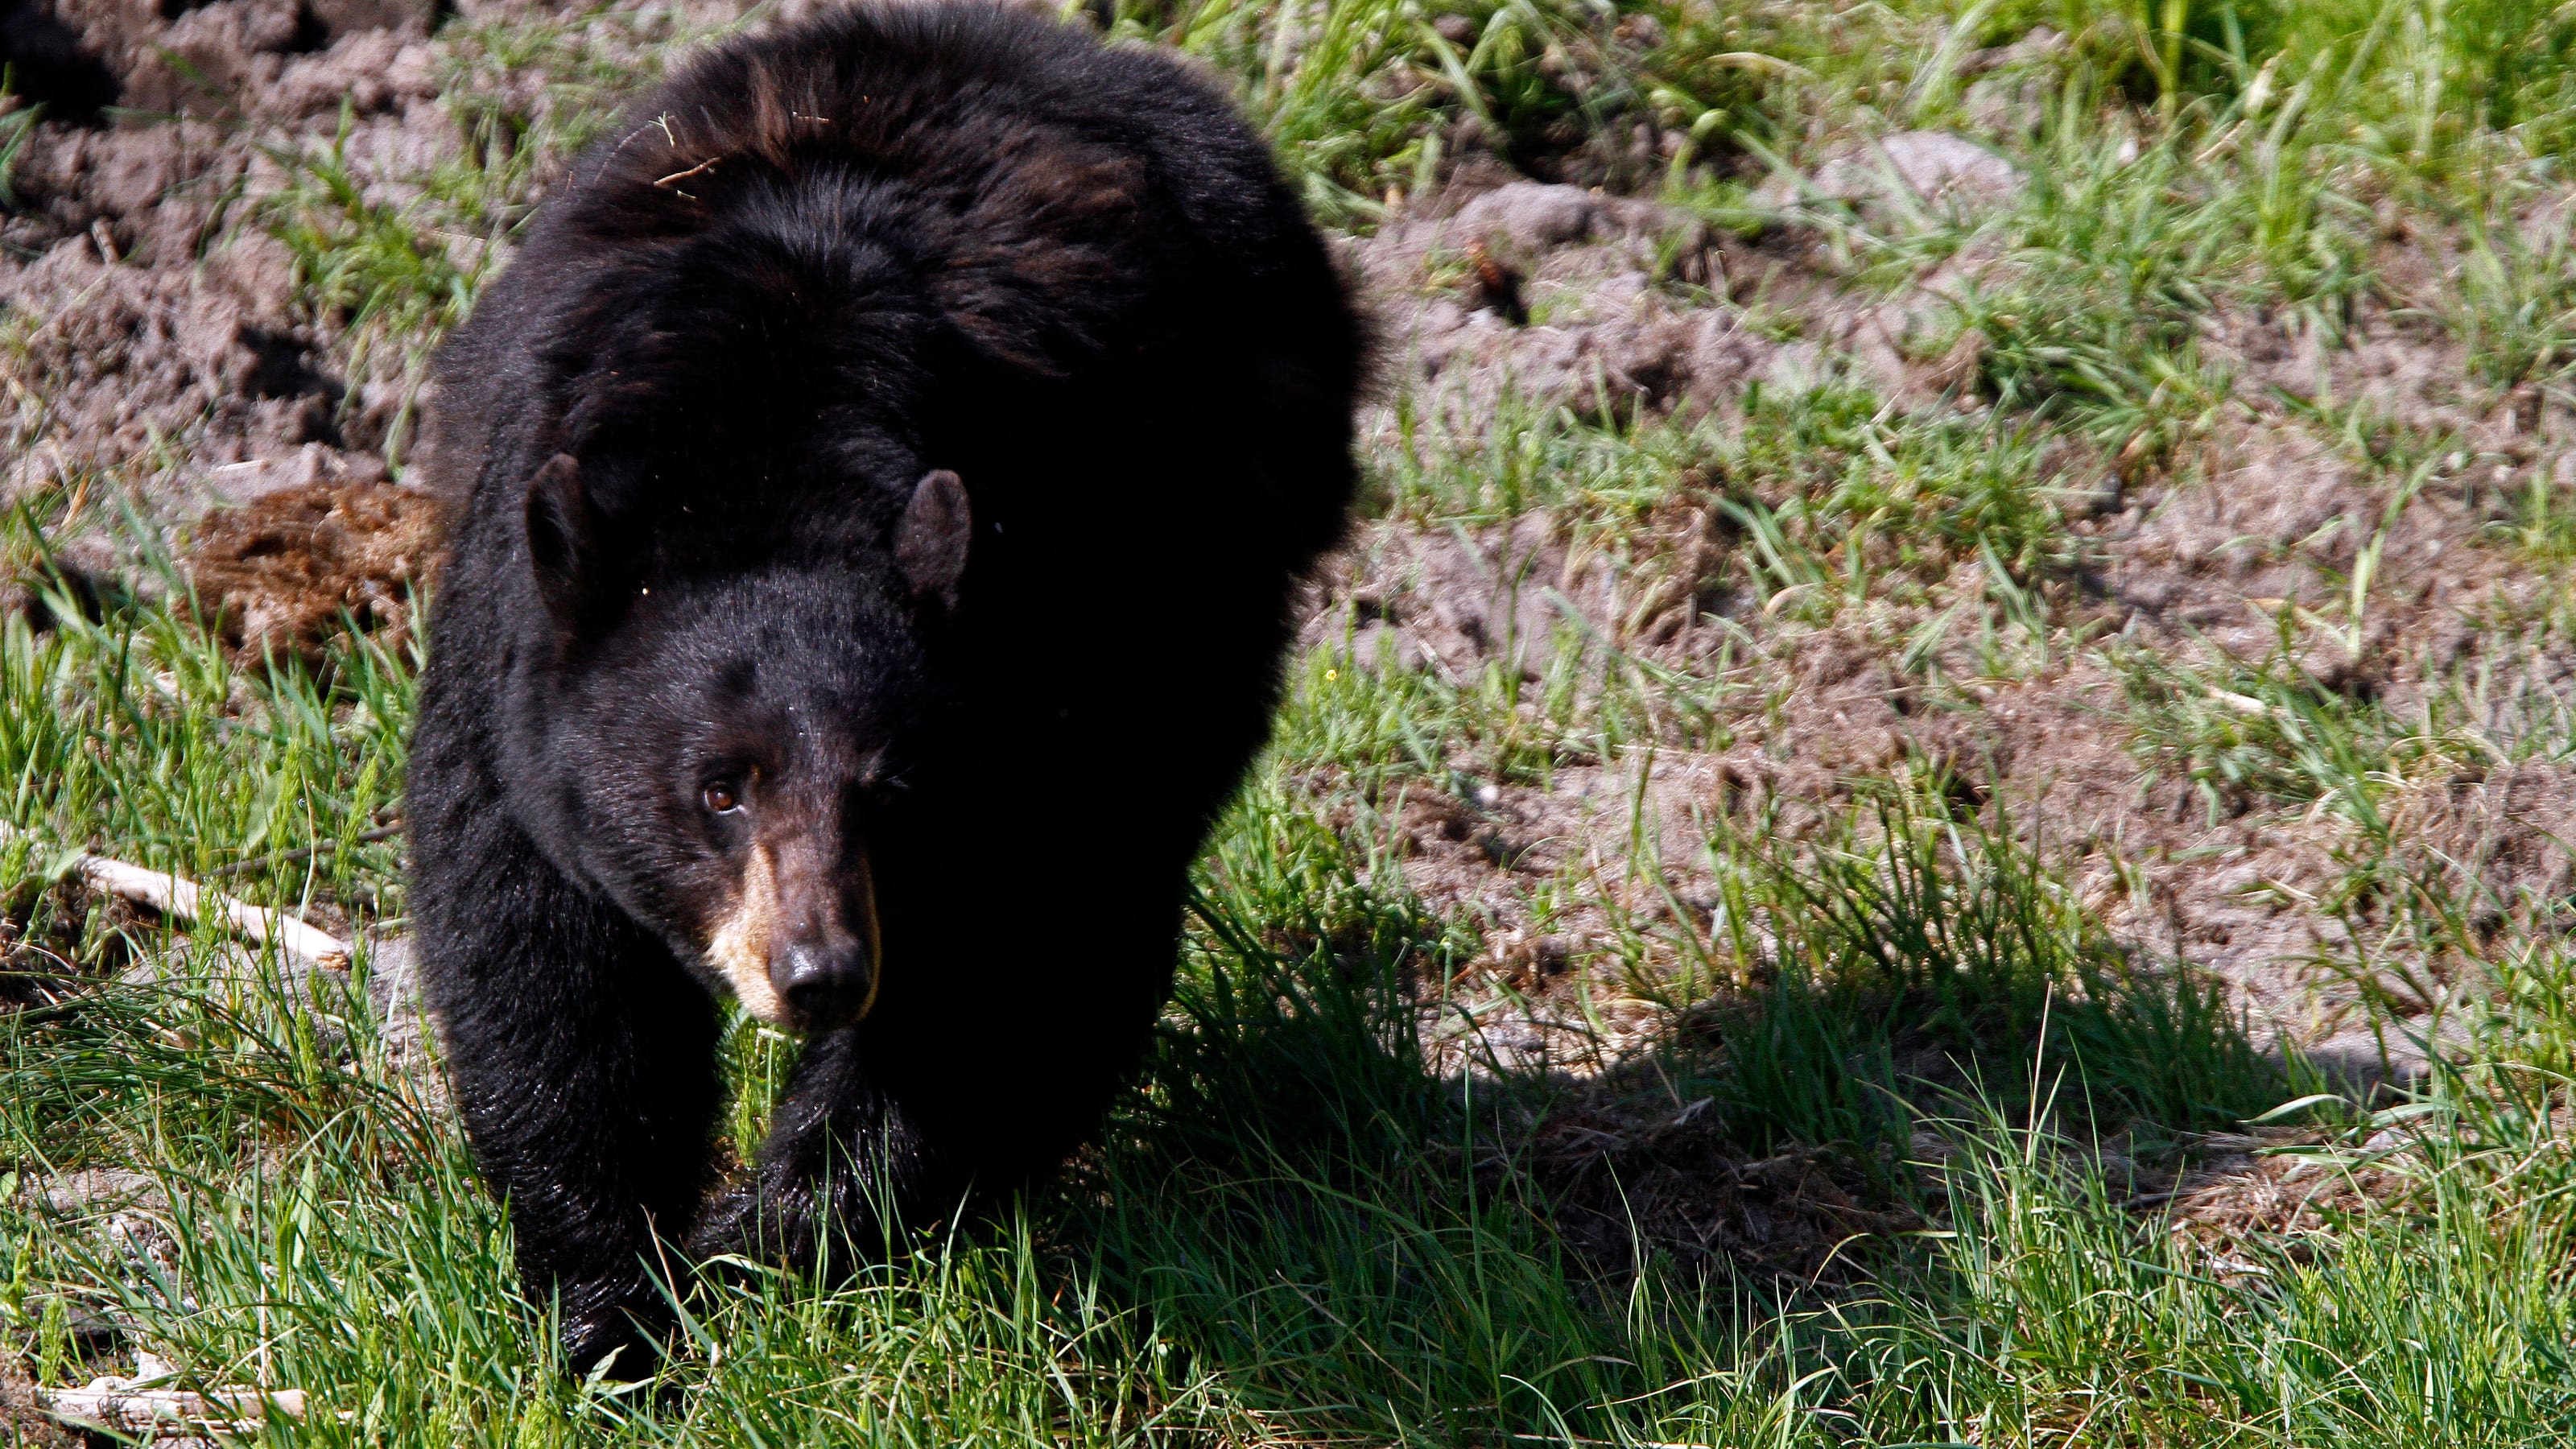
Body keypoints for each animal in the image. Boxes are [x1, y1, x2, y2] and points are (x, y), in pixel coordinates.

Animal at [402, 0, 1360, 1371]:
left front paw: (759, 1242)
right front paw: (605, 1304)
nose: (820, 974)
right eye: (719, 790)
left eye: (894, 790)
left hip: (1215, 556)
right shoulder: (509, 655)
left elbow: (1033, 945)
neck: (763, 451)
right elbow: (537, 957)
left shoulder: (1019, 641)